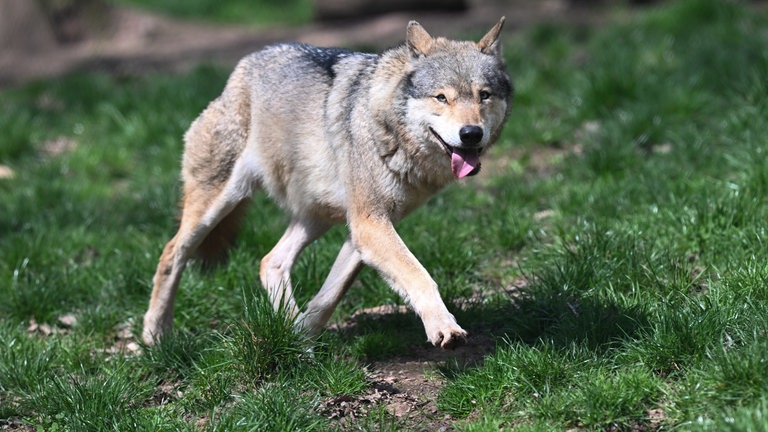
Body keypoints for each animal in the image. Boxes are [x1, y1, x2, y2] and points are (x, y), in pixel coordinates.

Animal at [142, 18, 512, 349]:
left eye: (483, 95)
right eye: (441, 97)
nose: (471, 134)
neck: (388, 128)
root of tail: (243, 66)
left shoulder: (364, 230)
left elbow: (329, 297)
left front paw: (301, 340)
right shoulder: (370, 225)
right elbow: (420, 275)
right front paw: (443, 327)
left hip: (318, 216)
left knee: (271, 261)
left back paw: (287, 328)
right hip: (217, 206)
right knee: (171, 253)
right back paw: (155, 336)